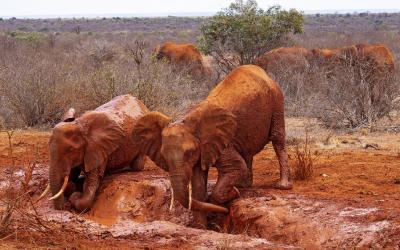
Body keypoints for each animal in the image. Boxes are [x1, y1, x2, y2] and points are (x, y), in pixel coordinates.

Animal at [133, 65, 292, 229]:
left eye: (189, 153)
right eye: (164, 155)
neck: (188, 120)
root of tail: (262, 72)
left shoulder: (220, 144)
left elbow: (236, 168)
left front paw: (233, 194)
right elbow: (197, 184)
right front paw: (201, 227)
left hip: (277, 100)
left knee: (278, 138)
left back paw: (281, 185)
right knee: (247, 151)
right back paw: (244, 185)